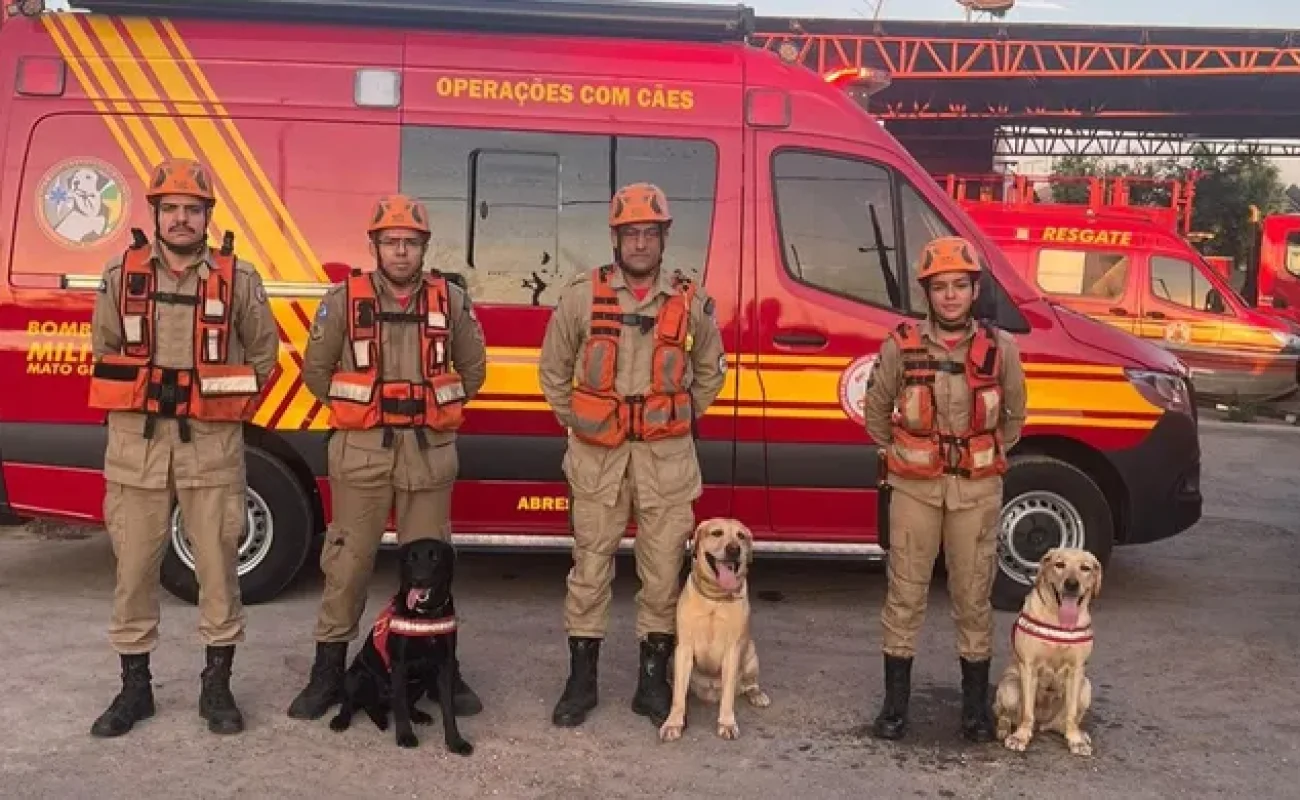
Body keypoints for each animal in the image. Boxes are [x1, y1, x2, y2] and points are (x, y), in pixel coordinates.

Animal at [330, 538, 473, 759]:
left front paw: (455, 742)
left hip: (422, 680)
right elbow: (400, 705)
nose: (418, 580)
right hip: (355, 676)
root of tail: (379, 702)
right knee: (351, 703)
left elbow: (448, 710)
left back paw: (418, 715)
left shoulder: (445, 666)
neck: (426, 615)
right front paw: (405, 736)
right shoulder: (399, 665)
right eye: (410, 559)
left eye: (435, 557)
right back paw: (341, 720)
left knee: (406, 703)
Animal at [660, 517, 769, 744]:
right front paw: (673, 723)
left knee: (749, 684)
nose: (734, 549)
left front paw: (727, 723)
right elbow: (678, 698)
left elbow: (728, 696)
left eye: (741, 536)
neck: (716, 598)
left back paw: (756, 694)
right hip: (674, 658)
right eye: (717, 533)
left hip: (751, 654)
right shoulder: (684, 649)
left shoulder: (732, 651)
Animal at [987, 548, 1102, 759]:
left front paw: (1076, 741)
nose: (1071, 584)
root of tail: (1042, 724)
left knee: (1066, 721)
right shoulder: (1029, 666)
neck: (1058, 620)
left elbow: (1071, 713)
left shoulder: (1076, 670)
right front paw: (1020, 737)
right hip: (1010, 687)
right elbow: (1027, 712)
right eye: (1059, 564)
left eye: (1085, 568)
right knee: (1006, 715)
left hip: (1085, 687)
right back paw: (1005, 730)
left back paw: (1076, 733)